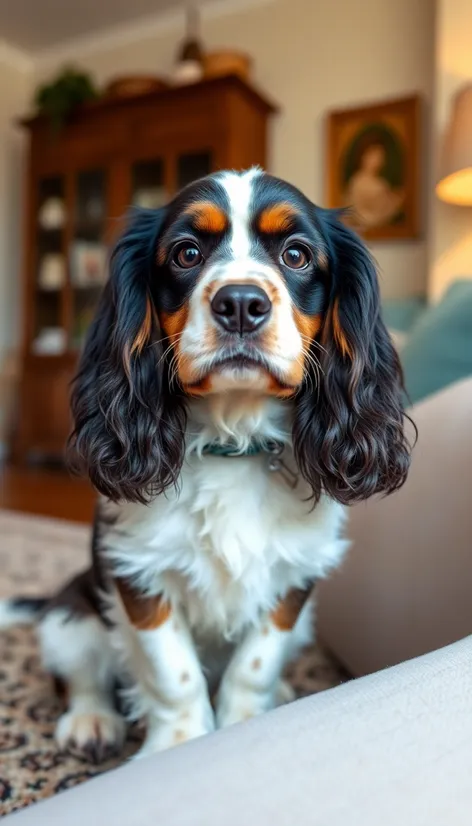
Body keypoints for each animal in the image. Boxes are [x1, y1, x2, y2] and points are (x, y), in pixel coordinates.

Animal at [0, 167, 410, 760]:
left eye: (296, 254)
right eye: (187, 253)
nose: (240, 303)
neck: (231, 443)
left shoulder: (293, 580)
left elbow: (253, 666)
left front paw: (243, 724)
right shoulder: (139, 570)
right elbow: (175, 674)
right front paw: (180, 745)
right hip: (69, 617)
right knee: (80, 676)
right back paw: (91, 721)